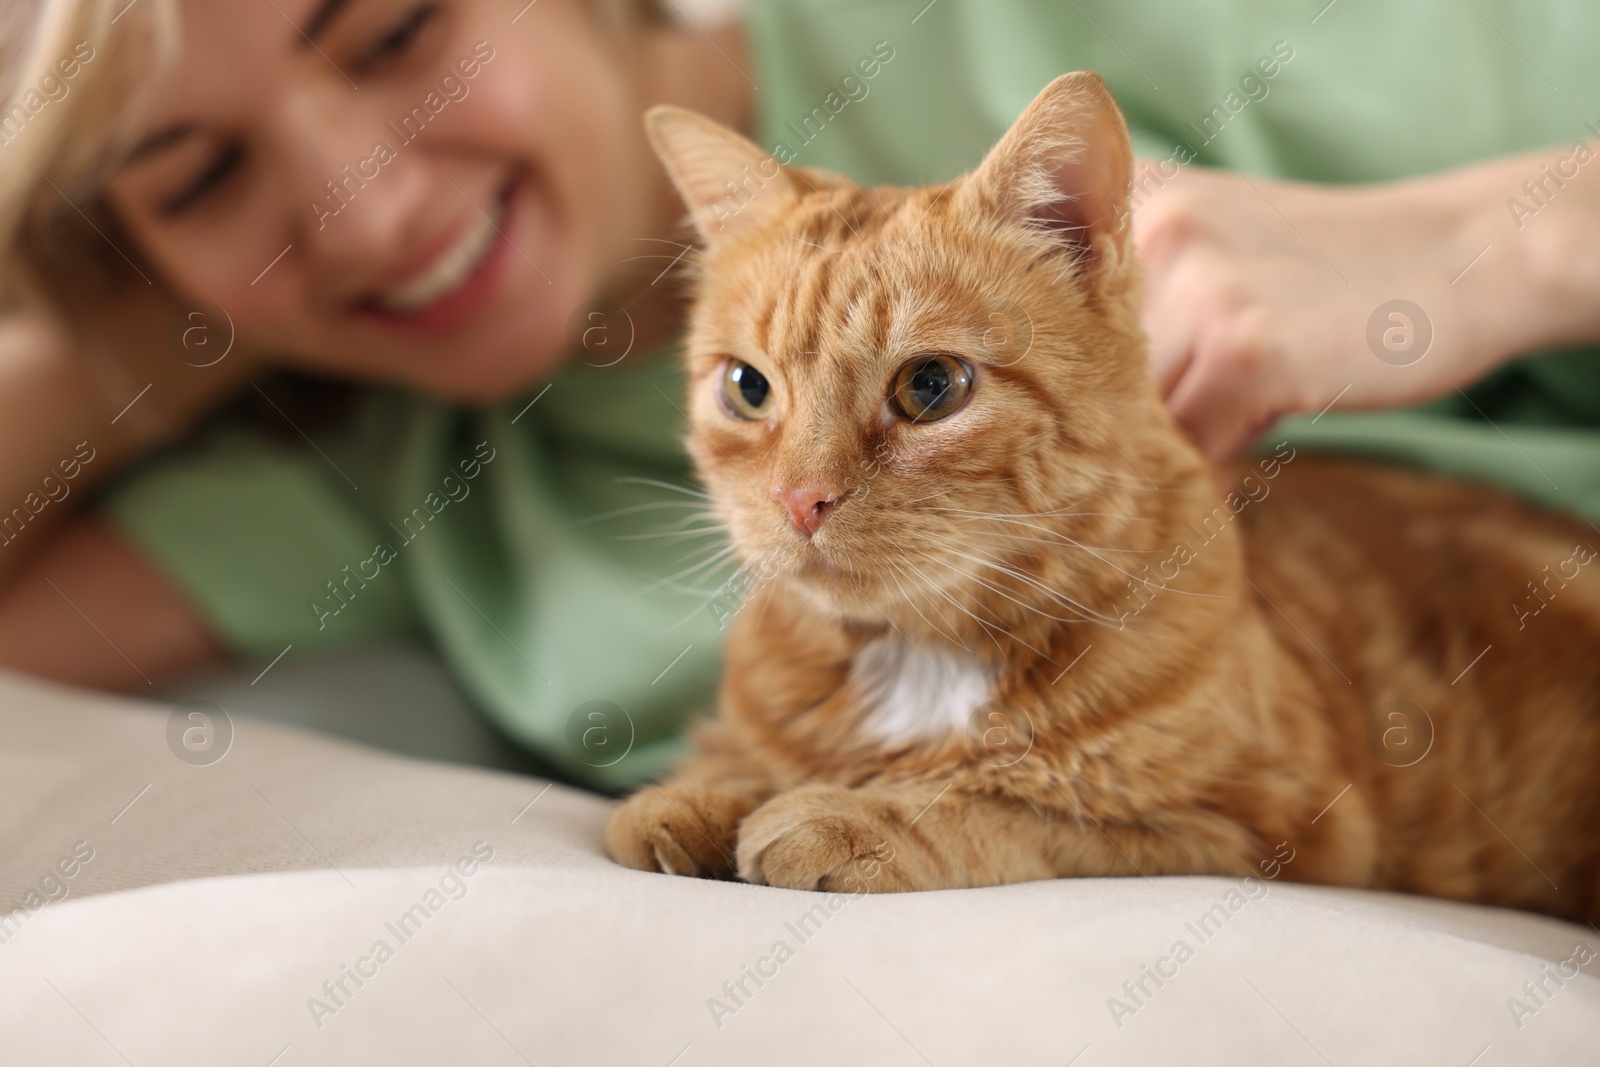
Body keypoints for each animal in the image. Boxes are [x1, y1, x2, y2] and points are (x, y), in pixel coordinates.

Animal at [604, 73, 1600, 921]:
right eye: (747, 388)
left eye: (930, 386)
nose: (800, 498)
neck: (923, 657)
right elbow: (737, 763)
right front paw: (701, 792)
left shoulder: (1254, 828)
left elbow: (1010, 806)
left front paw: (857, 811)